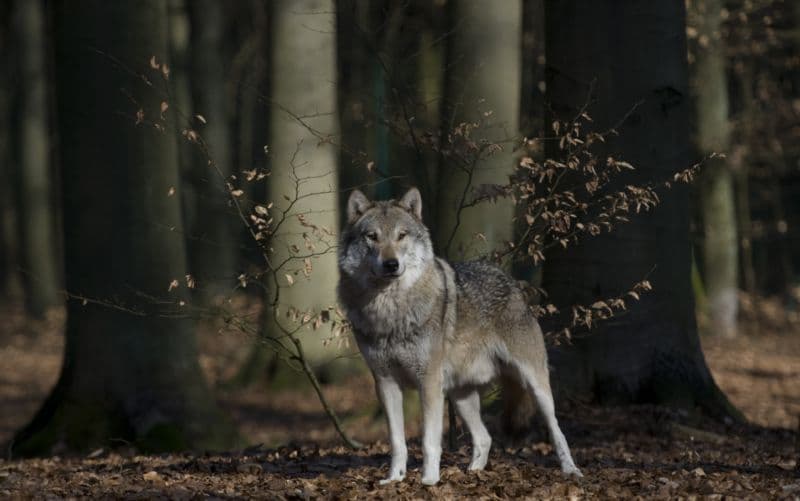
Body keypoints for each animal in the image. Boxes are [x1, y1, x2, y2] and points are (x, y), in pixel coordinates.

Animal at [338, 187, 580, 484]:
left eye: (401, 235)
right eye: (372, 236)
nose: (391, 264)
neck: (390, 310)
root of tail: (511, 282)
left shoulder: (429, 382)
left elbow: (429, 441)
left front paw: (429, 481)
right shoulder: (385, 384)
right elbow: (397, 442)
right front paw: (394, 479)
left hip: (534, 385)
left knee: (557, 430)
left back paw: (571, 470)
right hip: (461, 396)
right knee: (485, 438)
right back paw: (473, 473)